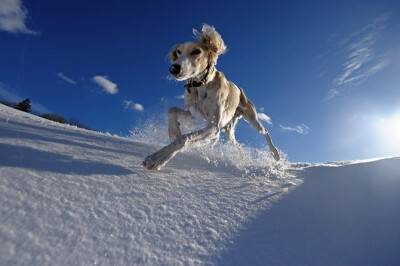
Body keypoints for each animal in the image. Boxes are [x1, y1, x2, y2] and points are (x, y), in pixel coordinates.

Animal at [143, 25, 278, 170]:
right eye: (178, 52)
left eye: (196, 51)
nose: (173, 69)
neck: (202, 85)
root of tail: (239, 89)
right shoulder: (195, 116)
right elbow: (172, 110)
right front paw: (174, 133)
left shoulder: (213, 126)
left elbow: (184, 138)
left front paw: (157, 158)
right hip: (228, 130)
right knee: (235, 143)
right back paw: (242, 156)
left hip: (251, 119)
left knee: (264, 131)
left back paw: (275, 154)